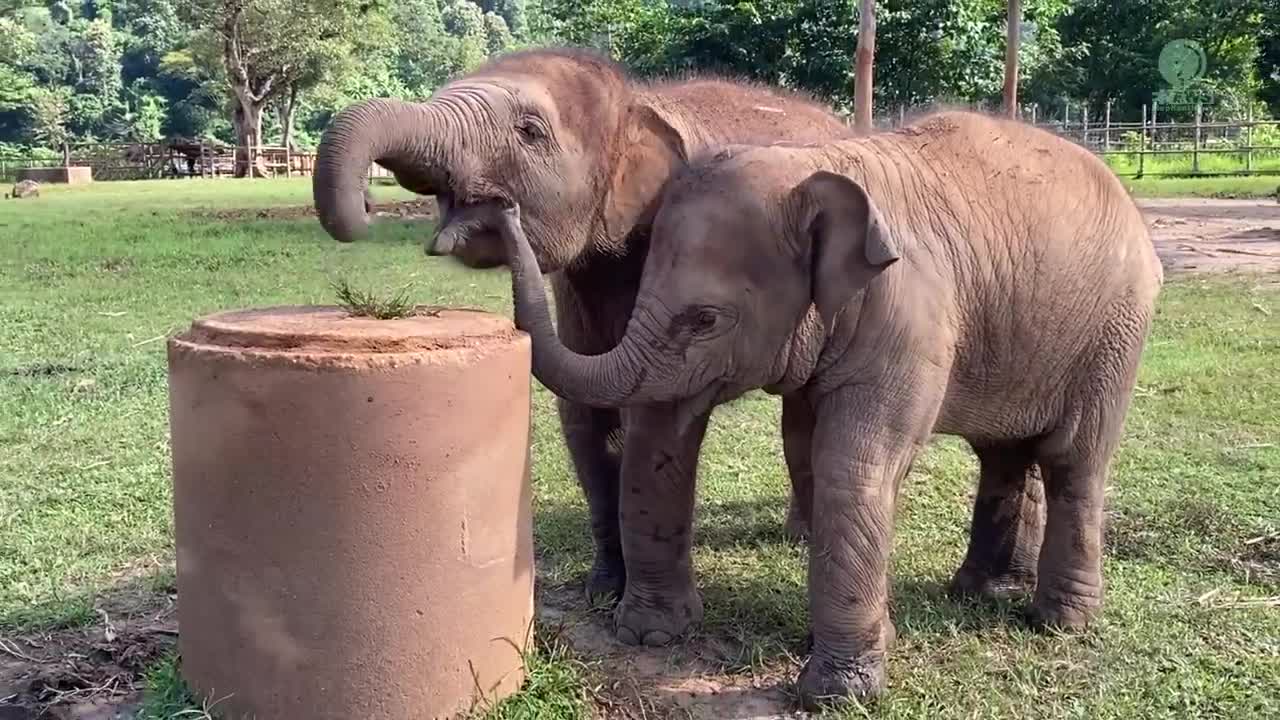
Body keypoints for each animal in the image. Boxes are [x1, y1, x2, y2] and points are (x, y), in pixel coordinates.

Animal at [494, 110, 1167, 707]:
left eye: (706, 319)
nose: (501, 207)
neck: (812, 164)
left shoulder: (909, 318)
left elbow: (852, 464)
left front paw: (838, 691)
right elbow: (738, 443)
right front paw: (655, 634)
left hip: (1115, 335)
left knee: (1073, 461)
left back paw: (1059, 622)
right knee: (1004, 454)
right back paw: (984, 593)